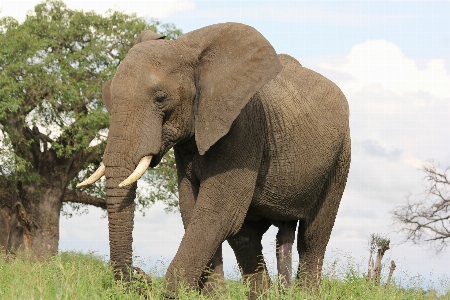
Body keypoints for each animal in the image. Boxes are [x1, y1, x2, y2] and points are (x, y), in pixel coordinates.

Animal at [76, 21, 352, 298]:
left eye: (161, 98)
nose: (138, 277)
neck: (187, 49)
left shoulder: (243, 127)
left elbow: (216, 214)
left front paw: (174, 294)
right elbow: (193, 210)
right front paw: (214, 296)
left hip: (340, 157)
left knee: (312, 236)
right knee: (247, 238)